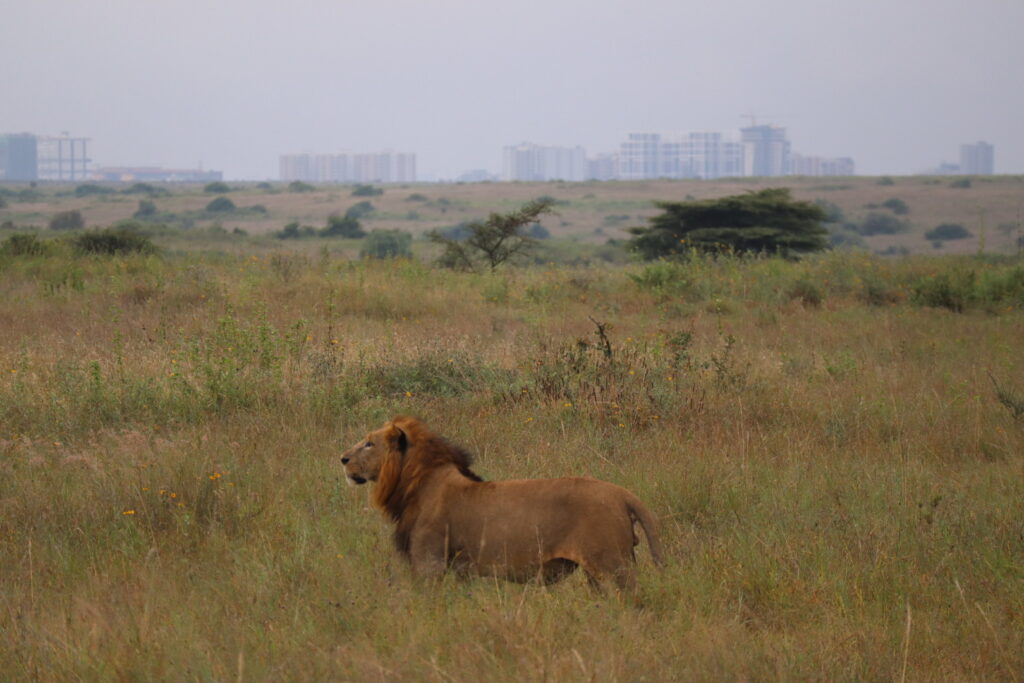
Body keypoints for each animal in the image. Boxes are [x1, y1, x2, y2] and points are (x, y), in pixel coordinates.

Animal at [342, 413, 663, 589]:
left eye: (369, 443)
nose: (342, 459)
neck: (414, 483)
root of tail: (622, 493)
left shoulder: (428, 562)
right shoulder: (461, 571)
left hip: (614, 566)